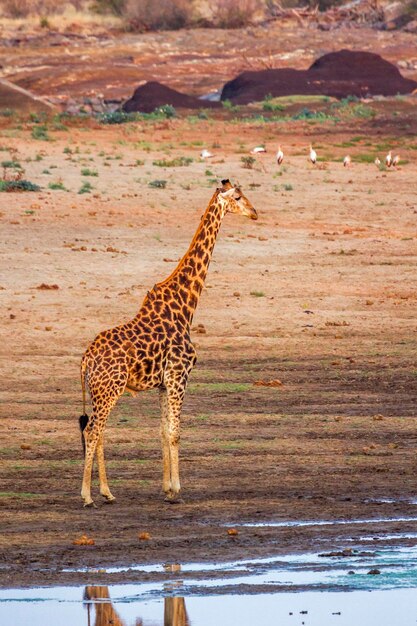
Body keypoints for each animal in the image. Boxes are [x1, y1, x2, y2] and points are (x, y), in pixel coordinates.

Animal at [79, 177, 256, 508]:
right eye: (238, 197)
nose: (255, 212)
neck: (185, 307)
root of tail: (85, 360)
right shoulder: (179, 376)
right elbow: (175, 432)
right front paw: (176, 490)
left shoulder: (164, 383)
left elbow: (163, 432)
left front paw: (165, 488)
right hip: (110, 388)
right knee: (93, 431)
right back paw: (86, 496)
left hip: (101, 391)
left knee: (97, 431)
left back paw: (107, 492)